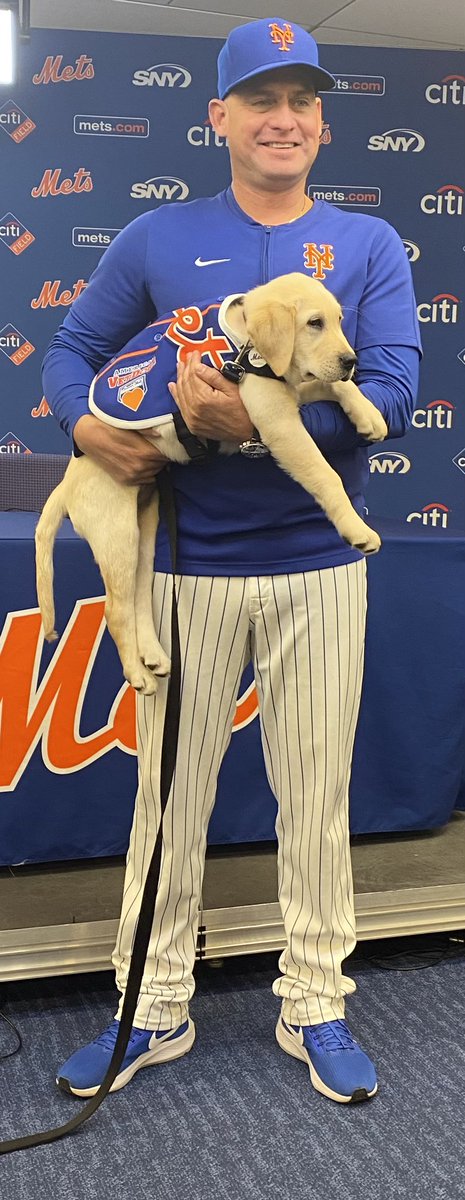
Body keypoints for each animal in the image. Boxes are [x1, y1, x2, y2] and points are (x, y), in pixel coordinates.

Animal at [35, 274, 385, 696]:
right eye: (314, 323)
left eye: (338, 321)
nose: (351, 362)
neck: (248, 344)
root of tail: (64, 484)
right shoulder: (277, 420)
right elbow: (325, 474)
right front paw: (356, 529)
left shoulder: (291, 388)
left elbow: (336, 388)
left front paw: (369, 414)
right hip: (116, 532)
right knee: (115, 608)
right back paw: (137, 674)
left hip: (144, 529)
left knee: (137, 596)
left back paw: (152, 655)